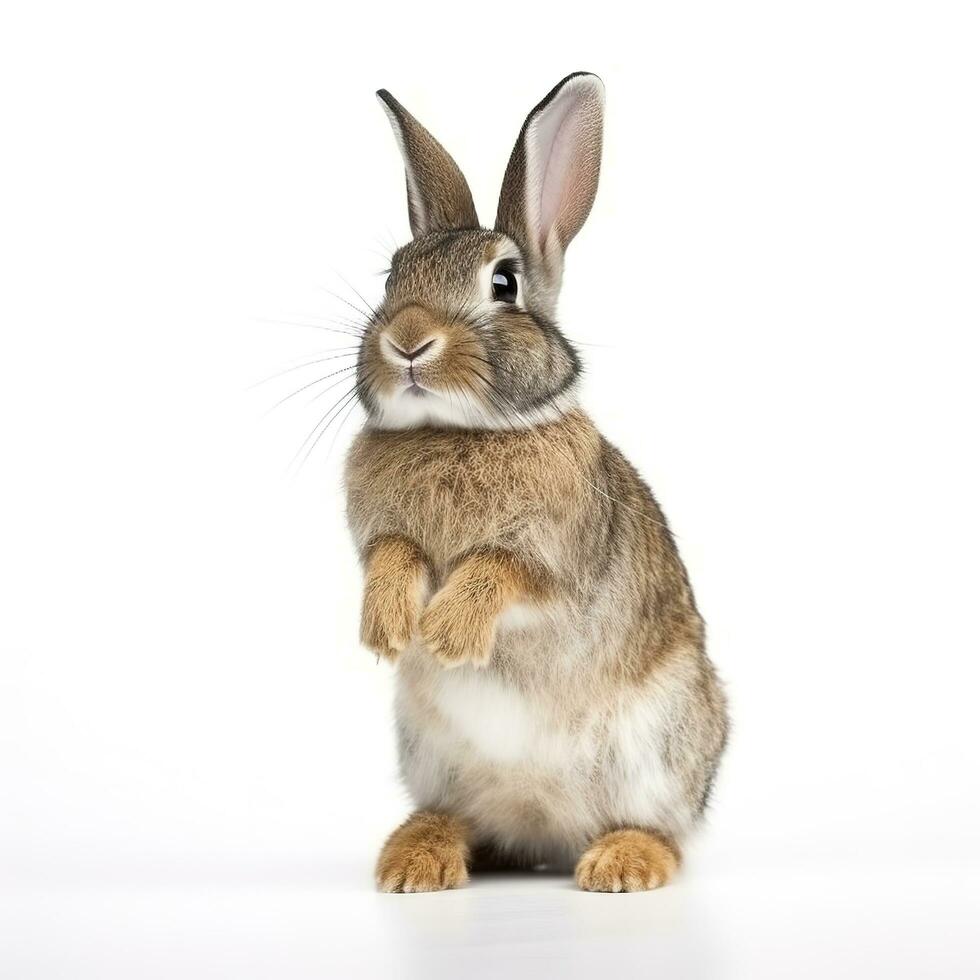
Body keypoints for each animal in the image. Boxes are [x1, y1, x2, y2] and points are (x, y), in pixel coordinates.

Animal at [344, 72, 728, 892]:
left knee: (665, 830)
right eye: (392, 275)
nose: (407, 341)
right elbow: (392, 557)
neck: (460, 431)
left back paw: (620, 863)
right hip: (431, 755)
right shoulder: (379, 537)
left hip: (660, 745)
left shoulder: (559, 564)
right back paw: (416, 860)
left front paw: (447, 633)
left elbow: (501, 571)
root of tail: (542, 826)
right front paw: (389, 628)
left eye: (504, 283)